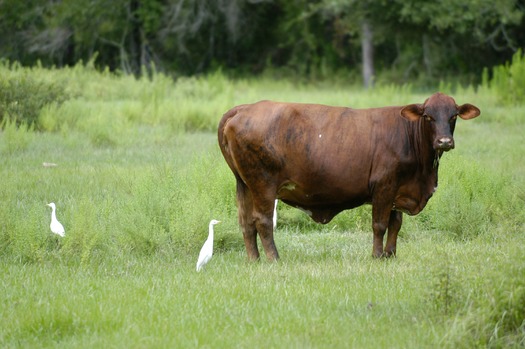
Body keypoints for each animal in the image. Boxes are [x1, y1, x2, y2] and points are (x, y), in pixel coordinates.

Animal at [217, 92, 478, 258]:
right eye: (428, 116)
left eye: (453, 115)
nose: (444, 141)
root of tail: (244, 108)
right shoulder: (384, 186)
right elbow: (379, 224)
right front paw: (376, 256)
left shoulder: (398, 190)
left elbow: (395, 224)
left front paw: (390, 255)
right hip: (263, 184)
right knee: (262, 222)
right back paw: (274, 259)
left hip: (243, 184)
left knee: (246, 223)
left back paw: (254, 260)